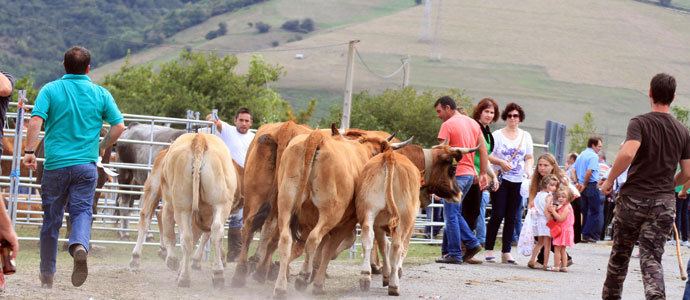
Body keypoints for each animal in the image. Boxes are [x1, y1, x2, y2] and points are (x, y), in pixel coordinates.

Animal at [157, 134, 239, 288]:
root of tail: (199, 138)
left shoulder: (168, 204)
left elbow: (169, 234)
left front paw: (172, 261)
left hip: (181, 207)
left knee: (185, 238)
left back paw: (184, 277)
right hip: (221, 204)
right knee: (215, 233)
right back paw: (217, 275)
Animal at [268, 127, 408, 298]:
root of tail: (317, 137)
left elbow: (322, 250)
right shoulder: (348, 222)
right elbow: (330, 249)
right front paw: (318, 283)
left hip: (285, 205)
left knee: (286, 241)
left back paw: (280, 287)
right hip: (331, 213)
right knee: (313, 239)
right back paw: (303, 277)